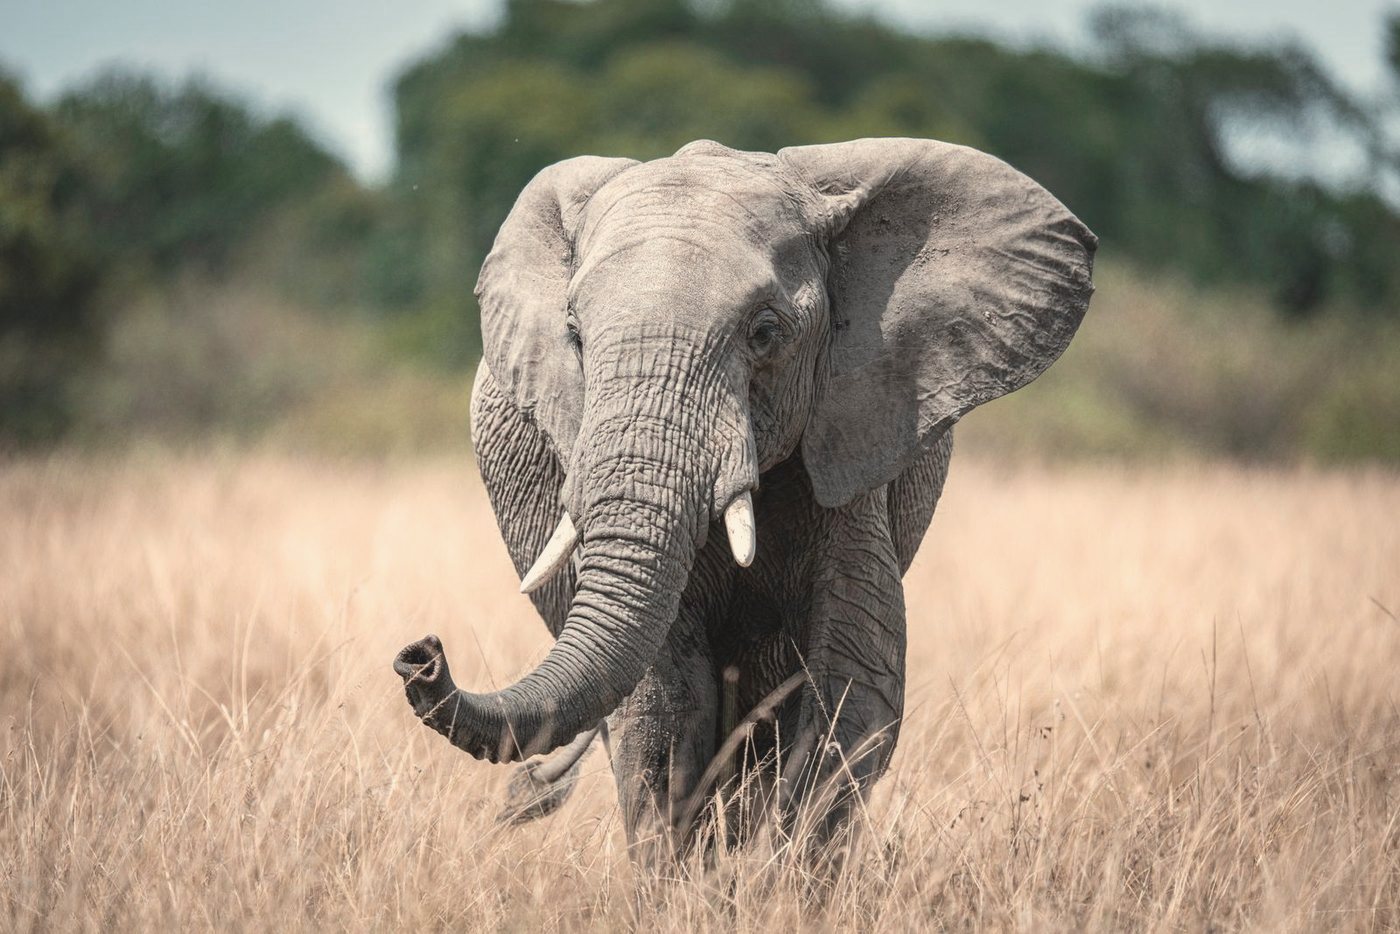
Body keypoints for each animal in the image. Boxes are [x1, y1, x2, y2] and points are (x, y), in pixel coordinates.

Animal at [393, 137, 1096, 863]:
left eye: (765, 333)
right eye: (576, 337)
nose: (421, 657)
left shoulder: (855, 440)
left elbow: (852, 687)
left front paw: (777, 877)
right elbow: (665, 701)